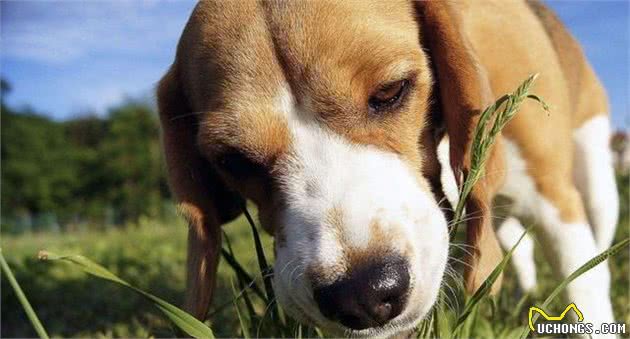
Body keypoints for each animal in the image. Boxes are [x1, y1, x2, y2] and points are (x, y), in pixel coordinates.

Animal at [157, 1, 616, 338]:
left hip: (595, 180)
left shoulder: (554, 200)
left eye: (390, 91)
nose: (361, 295)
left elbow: (586, 288)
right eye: (233, 159)